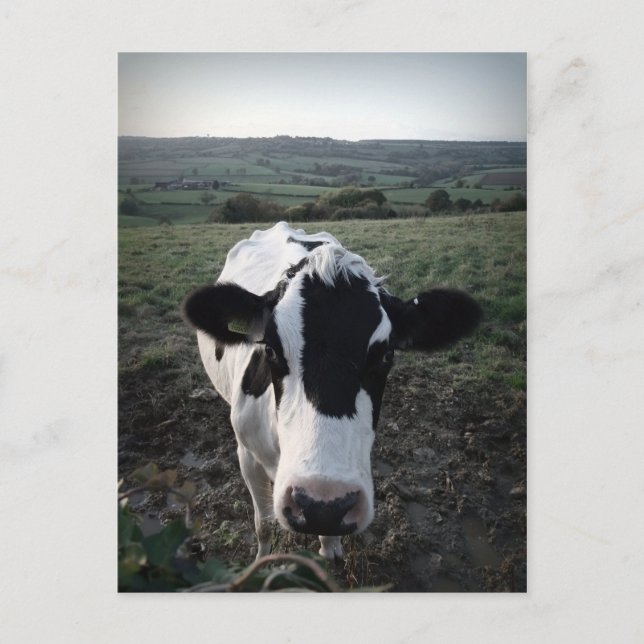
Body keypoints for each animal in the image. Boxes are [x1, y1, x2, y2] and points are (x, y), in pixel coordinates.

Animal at [183, 221, 481, 561]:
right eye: (270, 349)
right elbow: (264, 524)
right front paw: (263, 560)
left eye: (386, 354)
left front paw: (331, 549)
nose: (322, 502)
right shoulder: (247, 455)